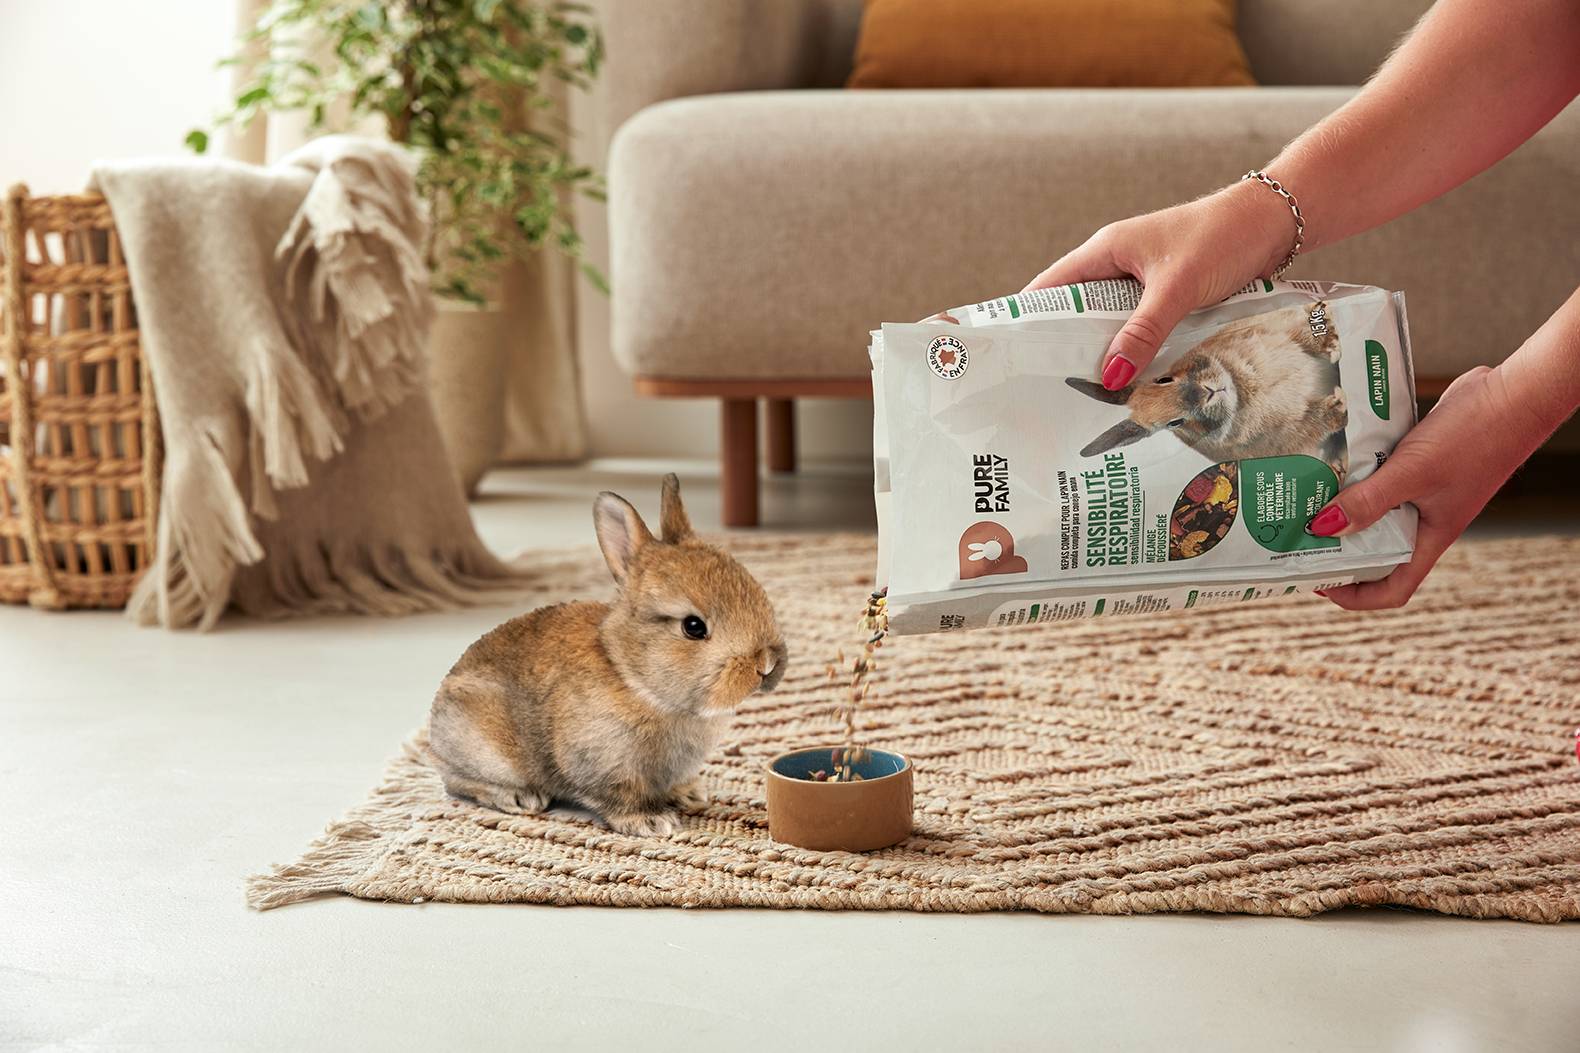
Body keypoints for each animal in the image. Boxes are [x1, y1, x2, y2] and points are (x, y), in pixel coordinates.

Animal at [427, 474, 788, 837]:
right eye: (693, 627)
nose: (766, 665)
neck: (631, 675)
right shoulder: (602, 762)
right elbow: (619, 796)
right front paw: (651, 822)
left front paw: (690, 795)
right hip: (485, 750)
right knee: (457, 780)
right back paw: (519, 797)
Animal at [1066, 301, 1350, 478]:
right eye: (1174, 423)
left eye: (1163, 379)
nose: (1207, 393)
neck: (1243, 390)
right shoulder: (1292, 432)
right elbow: (1313, 421)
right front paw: (1339, 405)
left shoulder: (1279, 329)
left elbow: (1304, 337)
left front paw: (1330, 342)